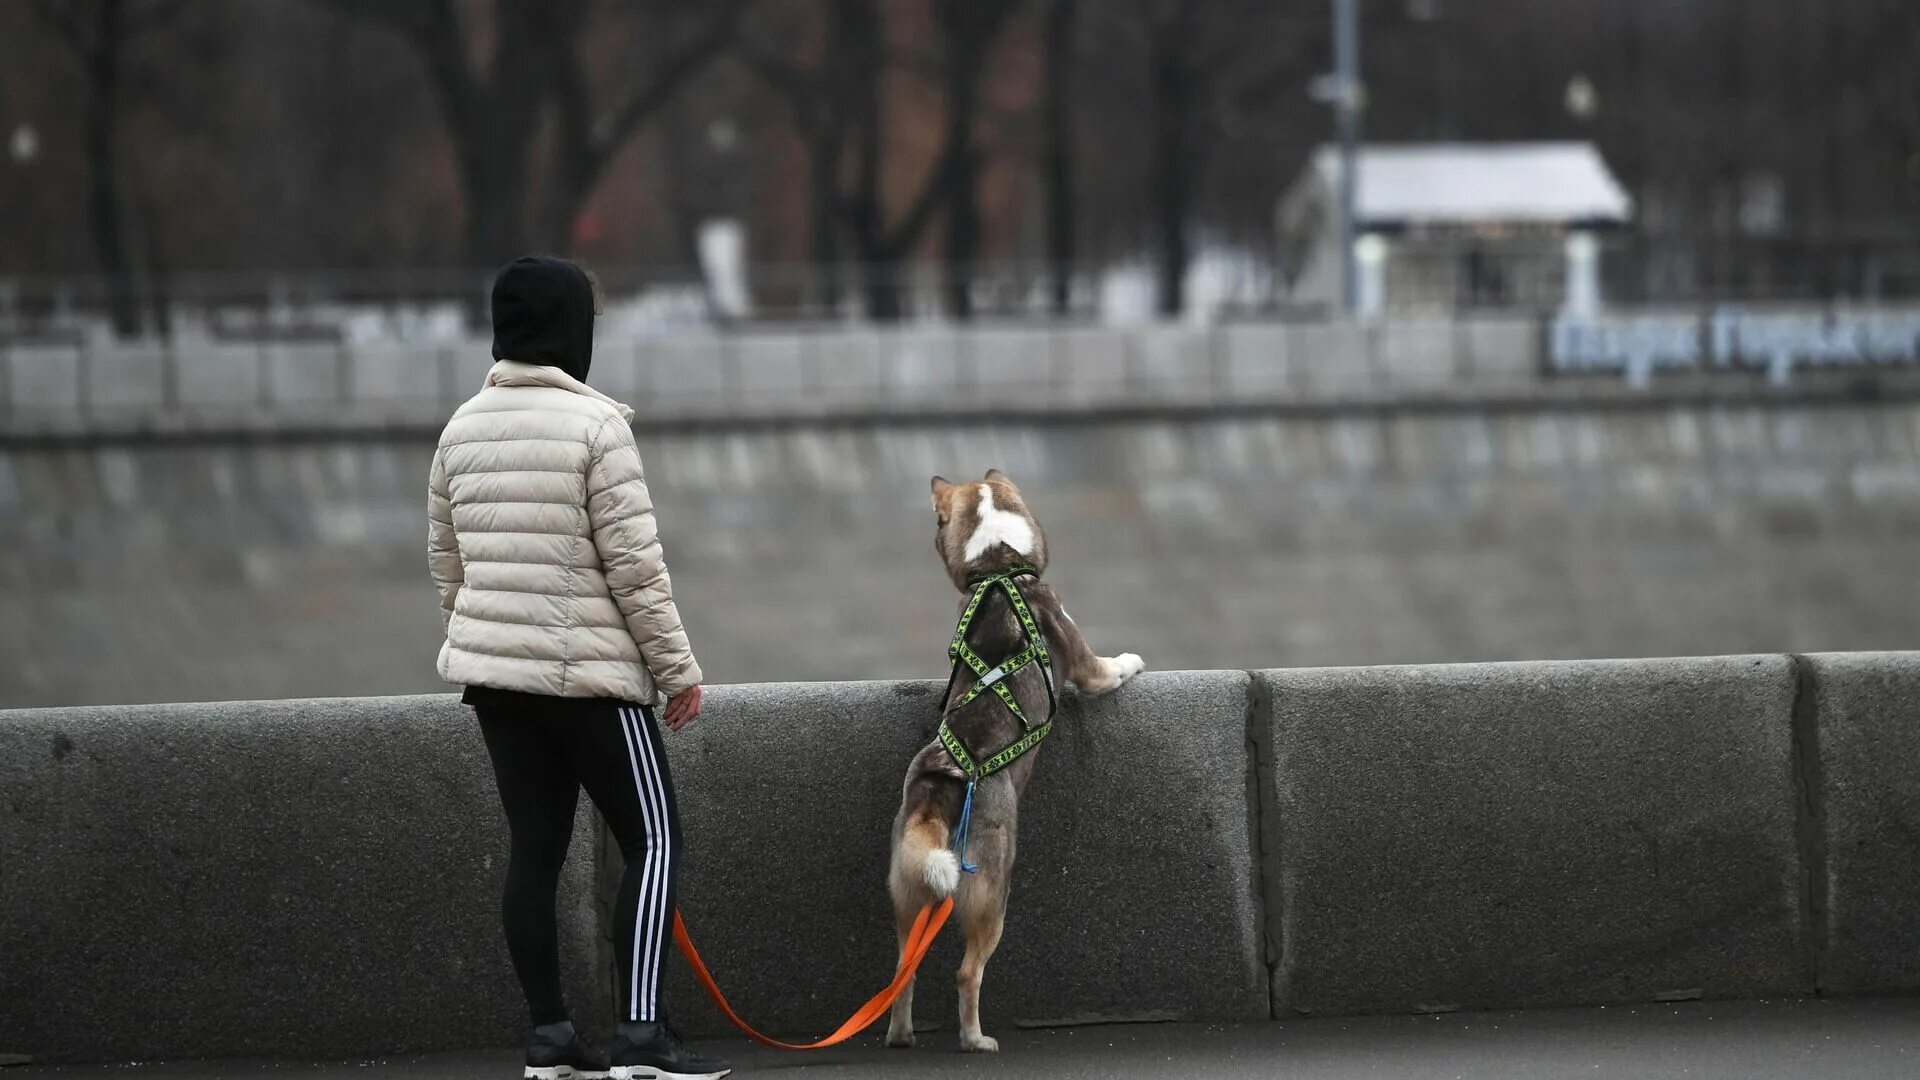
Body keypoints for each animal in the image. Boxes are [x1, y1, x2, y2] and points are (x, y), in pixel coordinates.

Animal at [883, 466, 1136, 1045]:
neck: (998, 569)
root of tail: (942, 782)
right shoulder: (1082, 658)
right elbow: (1107, 669)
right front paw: (1132, 661)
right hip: (991, 892)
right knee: (967, 972)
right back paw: (976, 1039)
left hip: (908, 891)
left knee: (903, 970)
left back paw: (900, 1035)